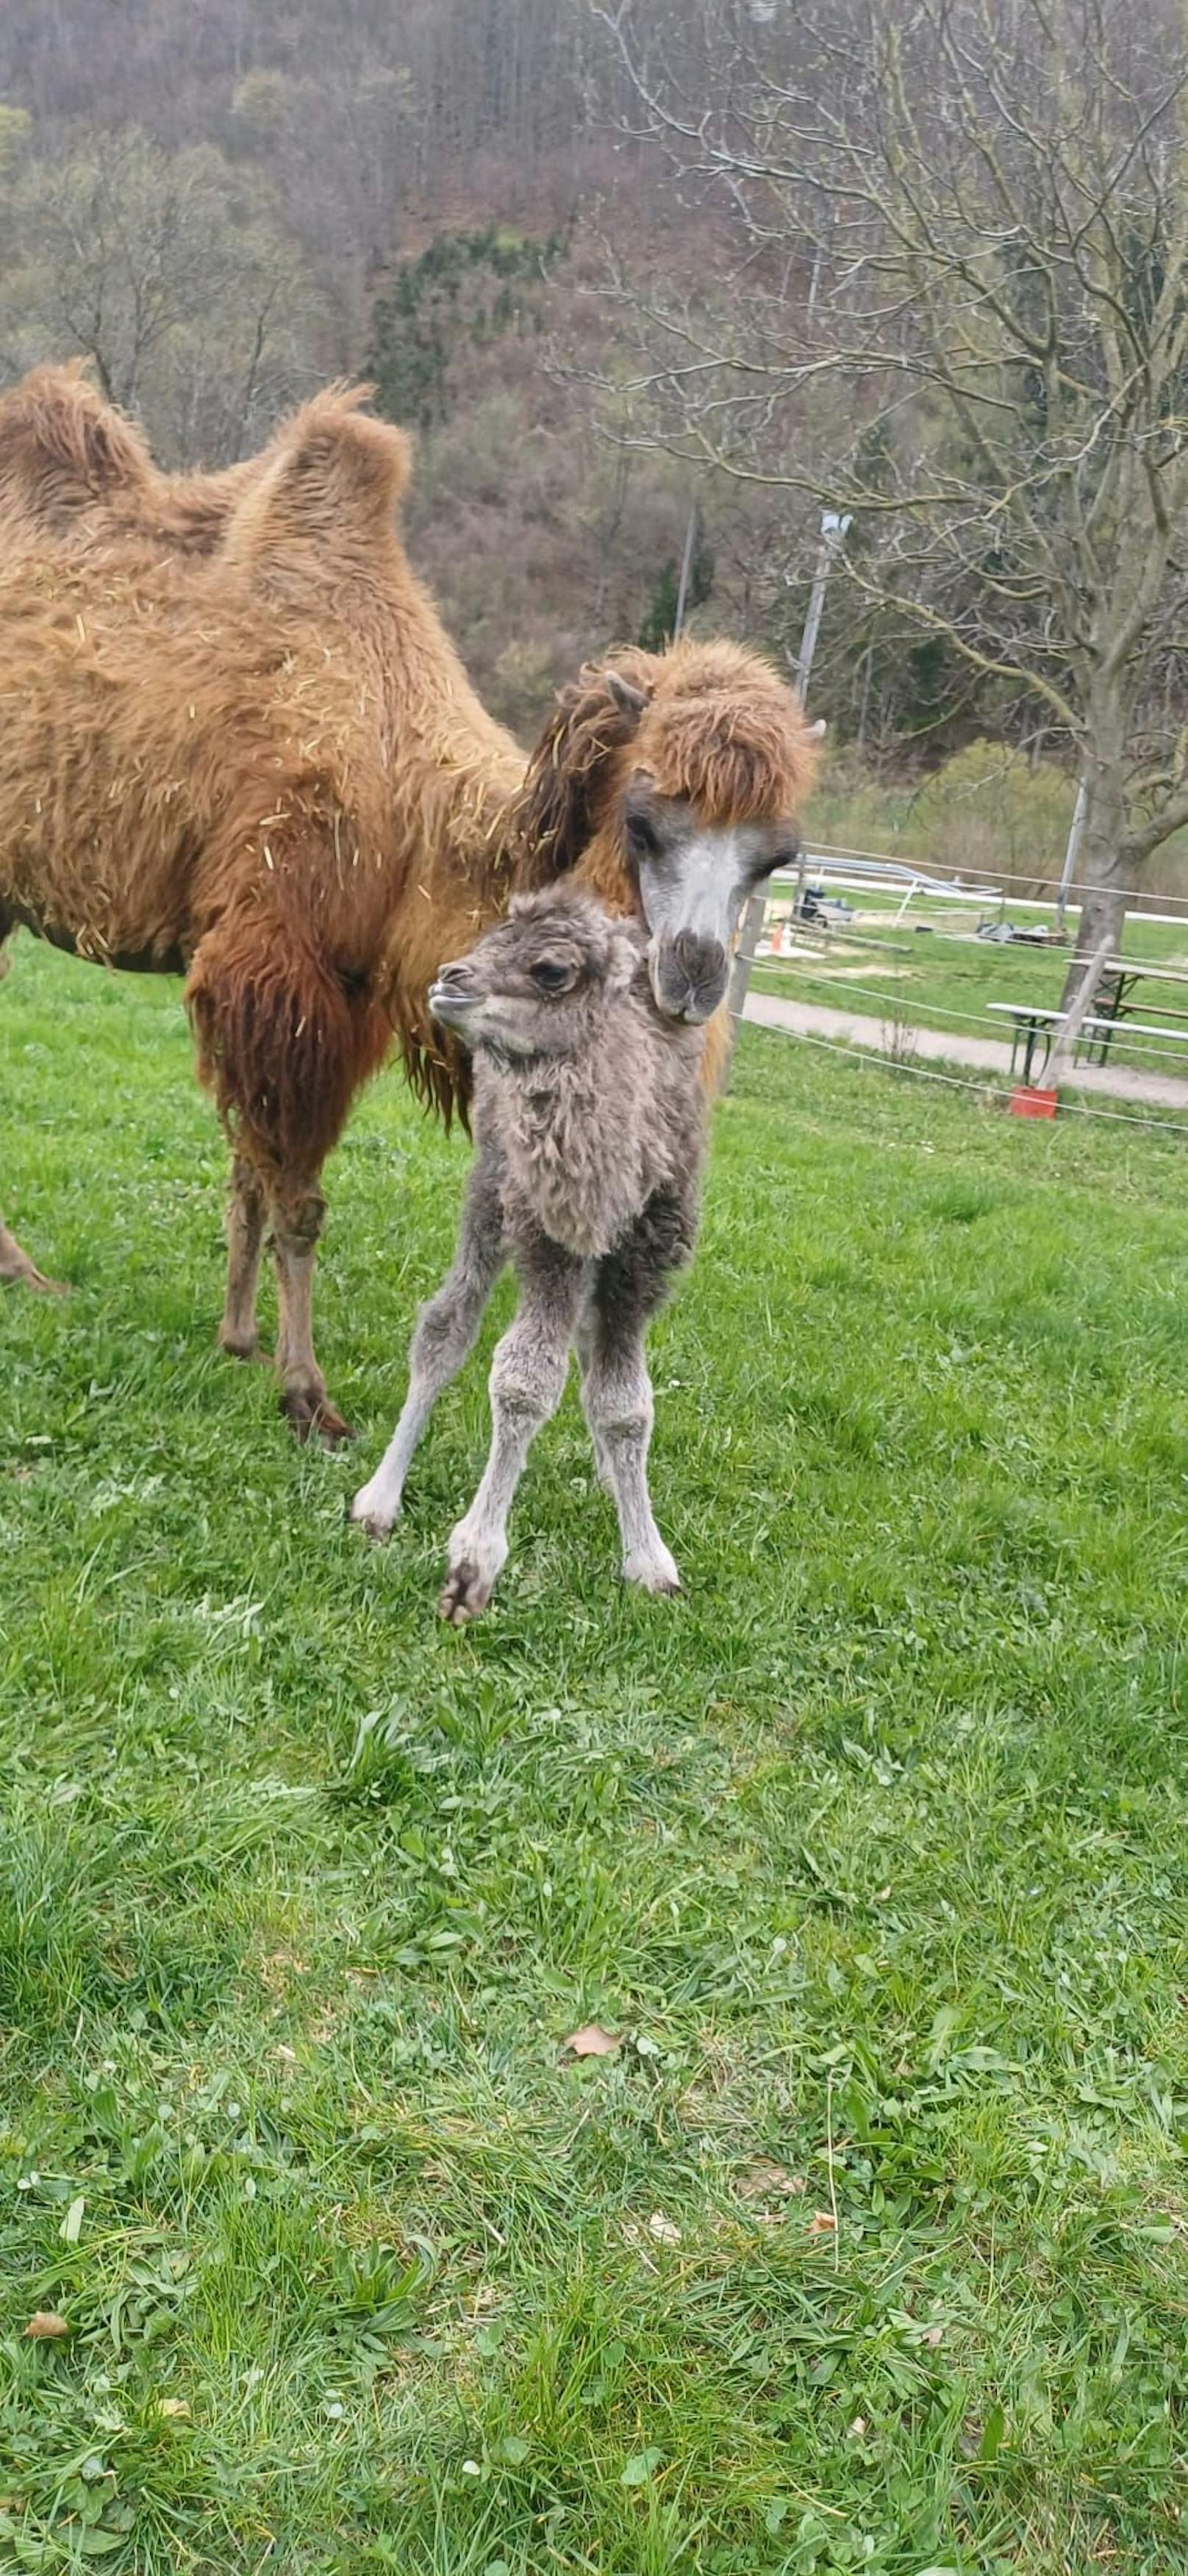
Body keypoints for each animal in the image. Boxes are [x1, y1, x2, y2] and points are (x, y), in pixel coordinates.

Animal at [0, 368, 814, 1432]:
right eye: (642, 821)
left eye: (778, 856)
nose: (693, 978)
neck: (412, 804)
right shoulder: (279, 960)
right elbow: (298, 1197)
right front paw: (306, 1393)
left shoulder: (336, 993)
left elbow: (252, 1172)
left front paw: (238, 1336)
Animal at [350, 886, 706, 1607]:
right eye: (490, 938)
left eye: (551, 969)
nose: (449, 978)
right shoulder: (545, 1236)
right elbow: (523, 1380)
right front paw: (474, 1561)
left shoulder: (641, 1261)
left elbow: (625, 1403)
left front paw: (651, 1559)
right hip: (490, 1190)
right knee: (446, 1328)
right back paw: (378, 1500)